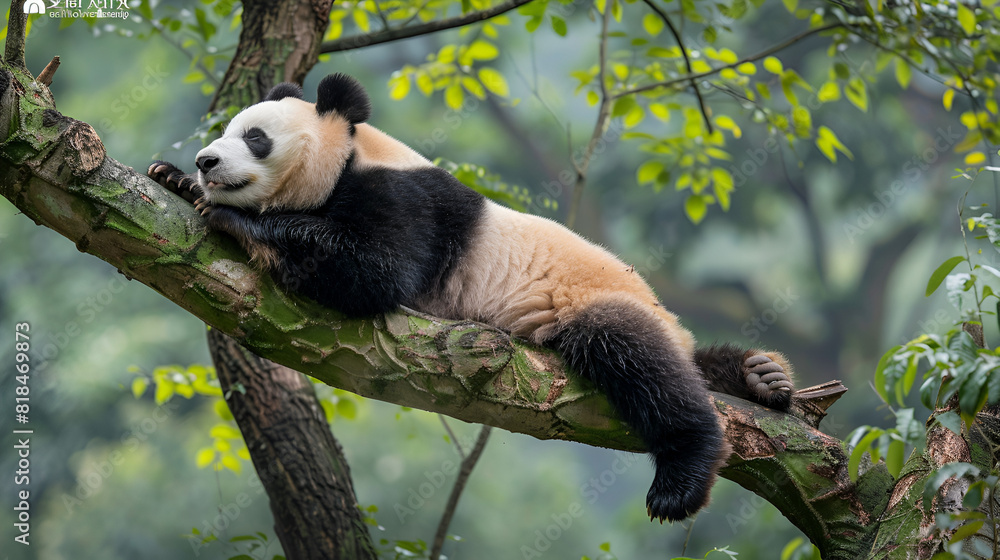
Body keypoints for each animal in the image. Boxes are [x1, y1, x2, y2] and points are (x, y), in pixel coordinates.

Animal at [148, 73, 795, 523]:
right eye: (226, 131)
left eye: (254, 138)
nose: (207, 160)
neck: (349, 157)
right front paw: (172, 177)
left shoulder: (407, 201)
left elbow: (375, 271)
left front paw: (239, 220)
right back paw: (760, 376)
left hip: (598, 300)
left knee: (640, 358)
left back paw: (683, 474)